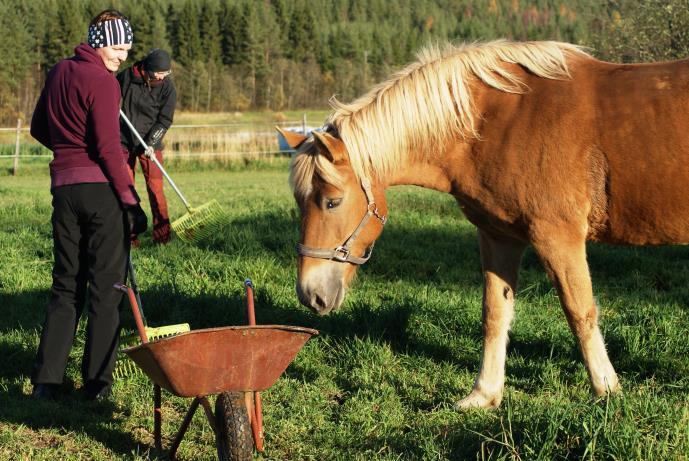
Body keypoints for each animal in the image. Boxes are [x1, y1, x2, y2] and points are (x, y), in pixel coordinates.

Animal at [280, 39, 689, 406]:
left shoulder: (558, 236)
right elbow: (495, 315)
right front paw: (484, 394)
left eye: (331, 201)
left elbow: (580, 311)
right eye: (299, 202)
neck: (494, 122)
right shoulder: (498, 236)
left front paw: (606, 388)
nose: (310, 293)